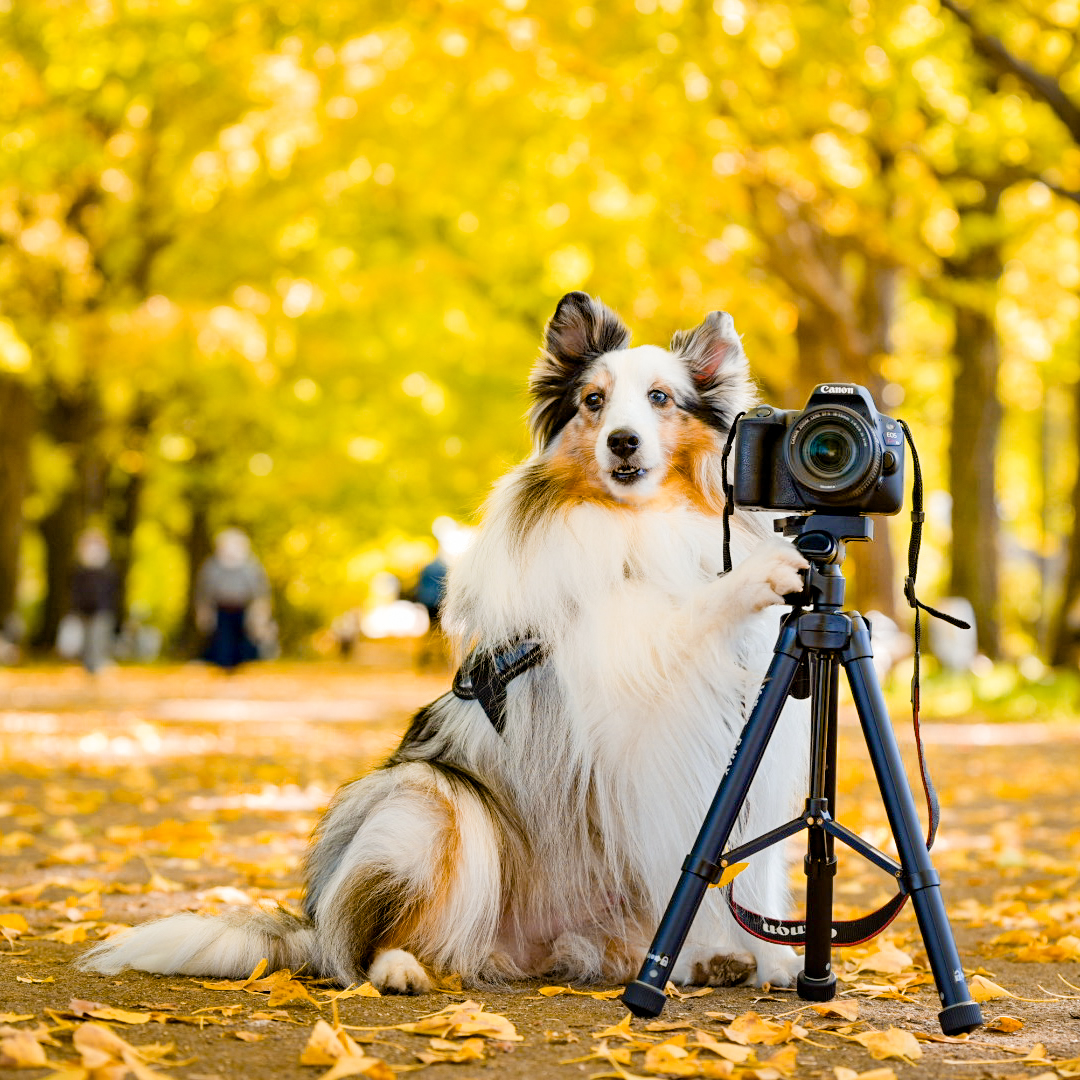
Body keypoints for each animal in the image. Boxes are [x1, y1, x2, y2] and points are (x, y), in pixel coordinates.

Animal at [82, 293, 812, 993]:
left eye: (661, 398)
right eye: (593, 401)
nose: (623, 443)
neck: (642, 523)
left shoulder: (751, 741)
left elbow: (756, 865)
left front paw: (770, 962)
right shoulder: (624, 679)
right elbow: (676, 620)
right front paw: (759, 573)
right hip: (428, 800)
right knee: (362, 945)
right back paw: (399, 968)